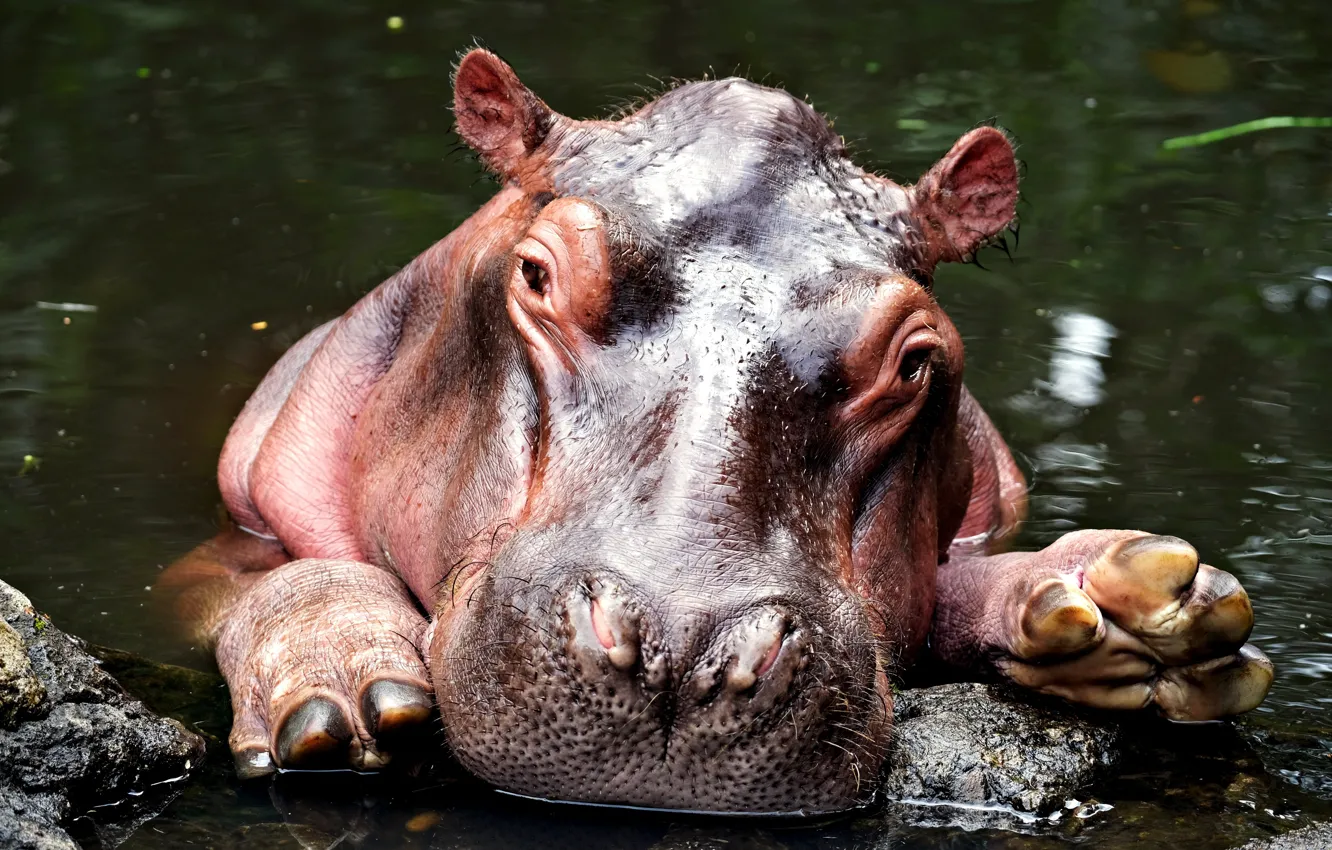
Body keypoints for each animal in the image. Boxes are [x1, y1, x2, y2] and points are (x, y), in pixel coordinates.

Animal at [163, 49, 1273, 815]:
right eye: (535, 273)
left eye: (916, 359)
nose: (682, 649)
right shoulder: (218, 547)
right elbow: (277, 578)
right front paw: (340, 687)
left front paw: (1135, 611)